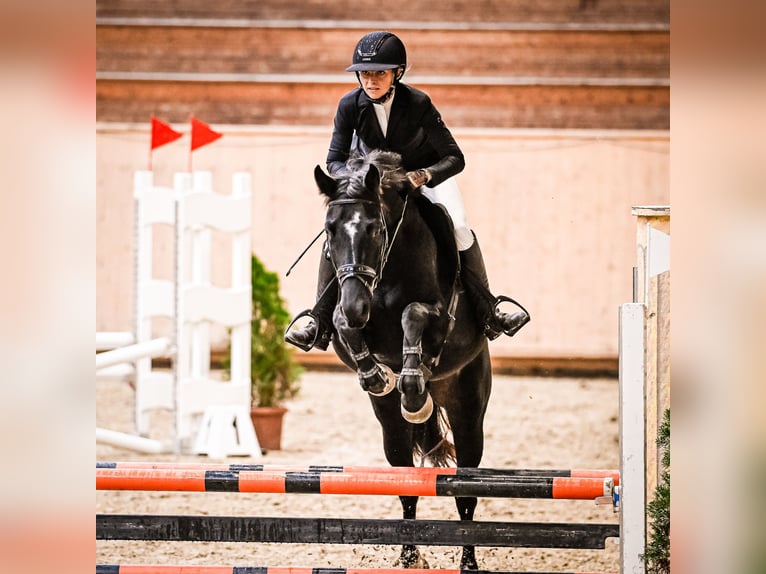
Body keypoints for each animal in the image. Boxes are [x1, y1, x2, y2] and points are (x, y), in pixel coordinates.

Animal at [316, 150, 496, 572]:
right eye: (330, 231)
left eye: (375, 229)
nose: (357, 305)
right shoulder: (346, 314)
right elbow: (342, 325)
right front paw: (376, 376)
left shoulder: (439, 317)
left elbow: (413, 314)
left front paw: (413, 388)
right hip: (390, 429)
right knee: (406, 483)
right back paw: (409, 555)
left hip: (468, 410)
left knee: (466, 493)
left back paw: (467, 561)